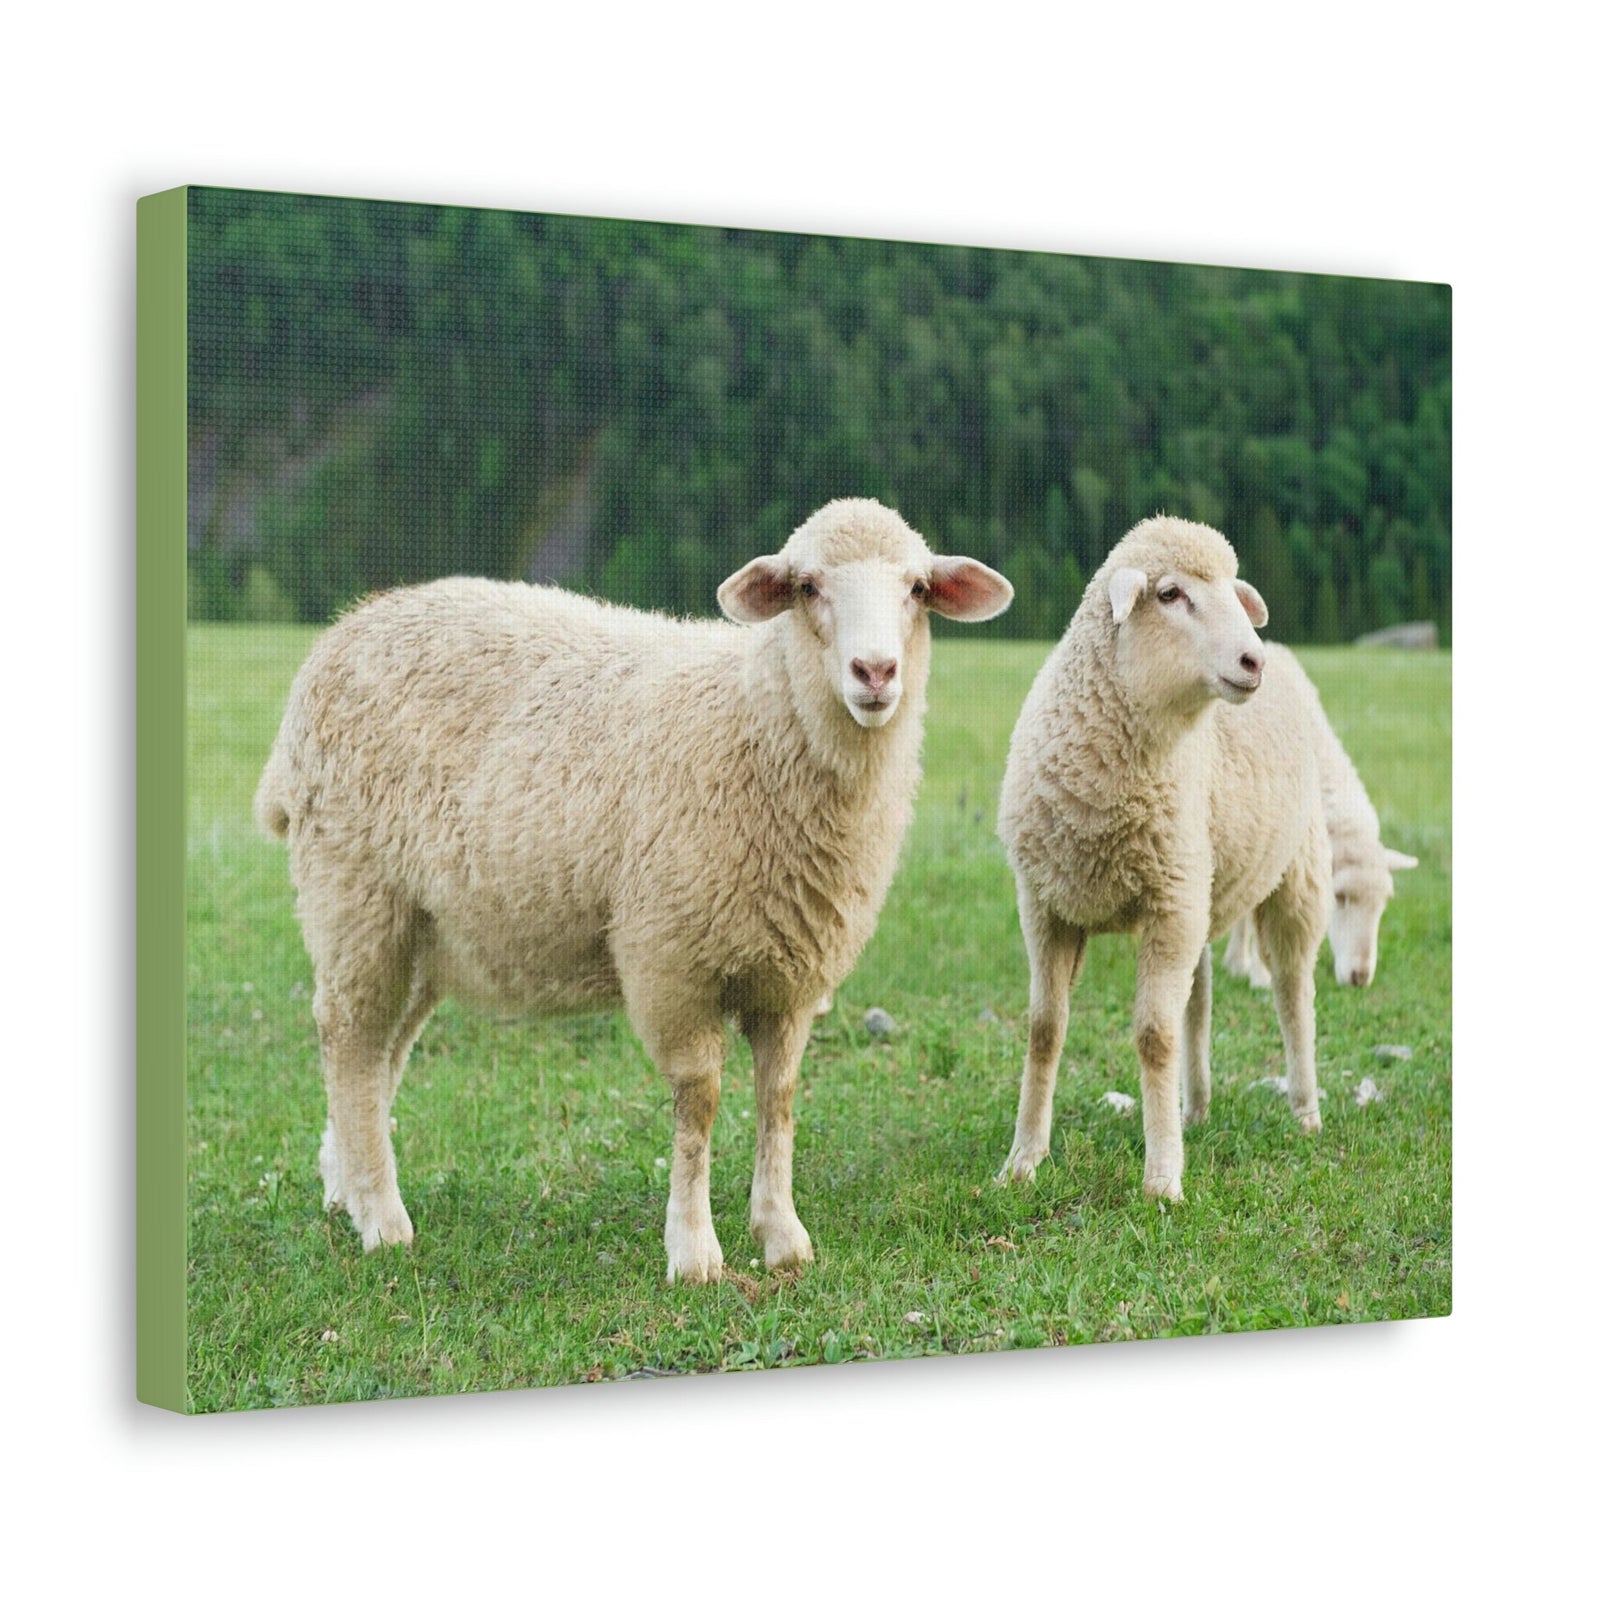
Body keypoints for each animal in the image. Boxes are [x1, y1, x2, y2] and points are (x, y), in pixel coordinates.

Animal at [254, 498, 1012, 1283]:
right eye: (807, 587)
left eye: (917, 589)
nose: (876, 671)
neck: (758, 723)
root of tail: (341, 633)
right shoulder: (671, 960)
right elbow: (699, 1101)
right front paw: (694, 1250)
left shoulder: (792, 976)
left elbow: (778, 1098)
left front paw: (781, 1234)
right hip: (354, 893)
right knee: (349, 1038)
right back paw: (383, 1219)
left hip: (425, 929)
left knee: (383, 1051)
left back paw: (346, 1187)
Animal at [996, 516, 1329, 1202]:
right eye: (1171, 594)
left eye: (1234, 591)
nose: (1251, 660)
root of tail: (1288, 655)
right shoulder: (1045, 905)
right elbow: (1044, 1030)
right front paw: (1023, 1160)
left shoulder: (1167, 907)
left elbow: (1154, 1037)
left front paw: (1162, 1179)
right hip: (1198, 884)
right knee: (1198, 1004)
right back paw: (1193, 1108)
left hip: (1292, 875)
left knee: (1293, 994)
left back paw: (1305, 1110)